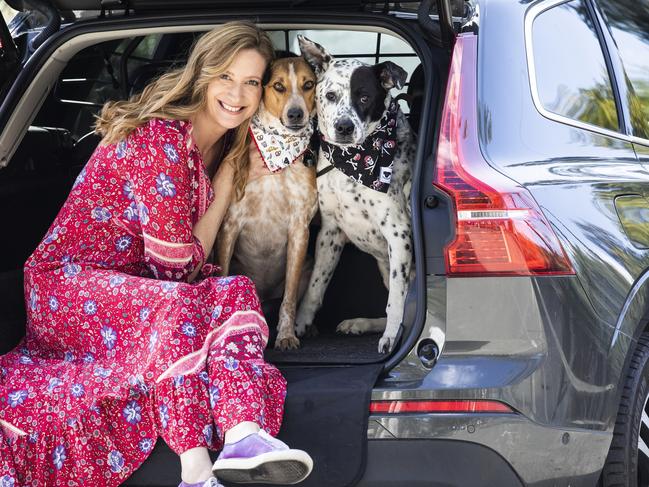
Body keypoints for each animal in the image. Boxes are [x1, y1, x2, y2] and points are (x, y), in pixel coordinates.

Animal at [216, 57, 318, 350]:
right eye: (278, 86)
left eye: (309, 84)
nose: (296, 114)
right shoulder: (229, 225)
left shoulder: (299, 230)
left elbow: (290, 299)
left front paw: (286, 335)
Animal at [294, 35, 416, 354]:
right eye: (331, 95)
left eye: (364, 97)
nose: (344, 127)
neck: (353, 161)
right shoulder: (330, 232)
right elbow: (315, 287)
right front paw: (298, 325)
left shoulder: (398, 234)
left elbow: (396, 301)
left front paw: (390, 337)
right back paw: (360, 324)